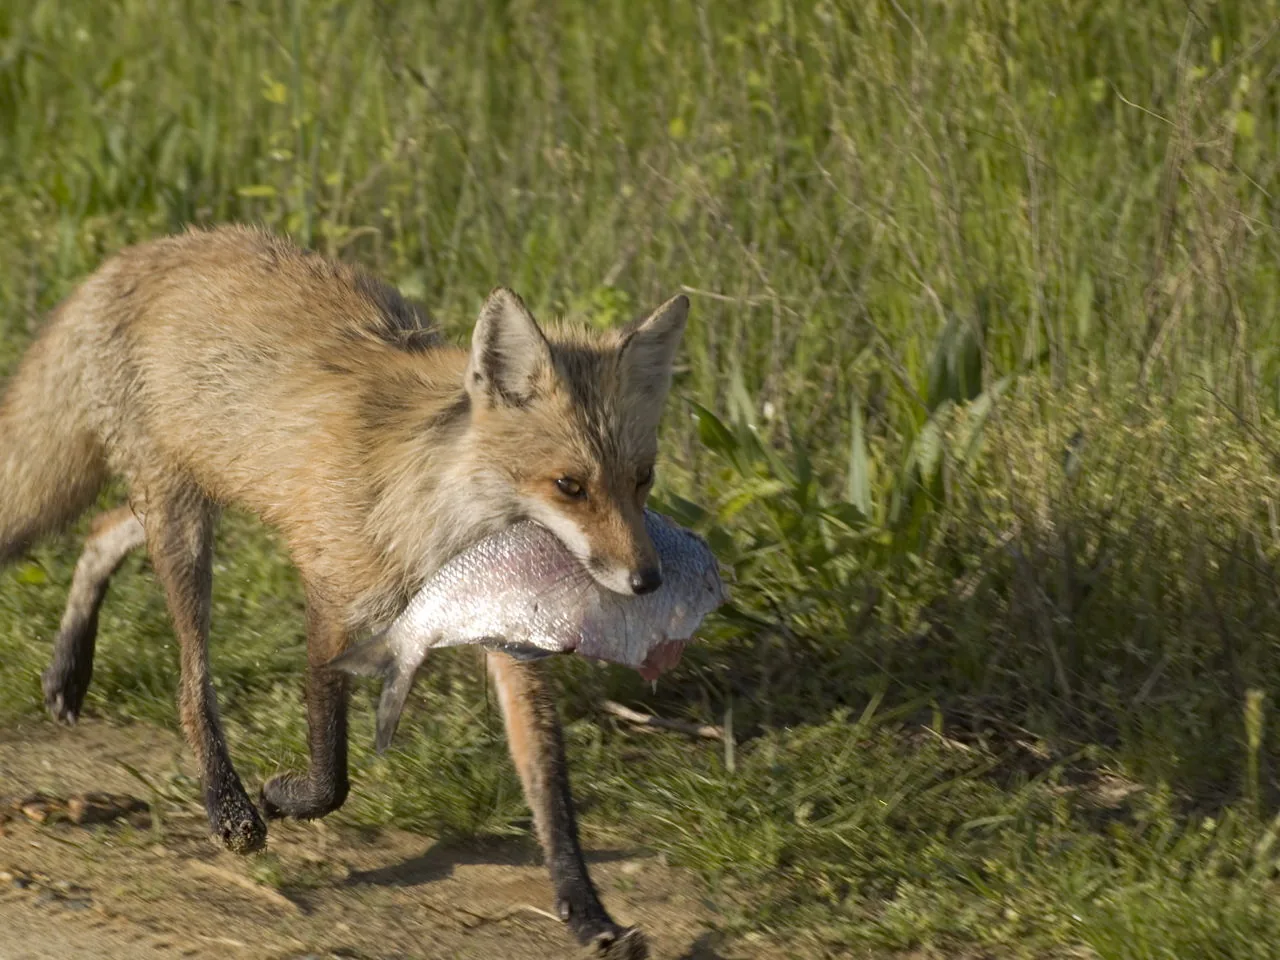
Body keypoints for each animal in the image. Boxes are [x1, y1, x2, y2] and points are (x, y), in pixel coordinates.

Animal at [0, 224, 689, 959]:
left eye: (642, 480)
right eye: (569, 486)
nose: (648, 580)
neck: (435, 520)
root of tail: (146, 250)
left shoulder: (507, 635)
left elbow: (551, 788)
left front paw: (586, 910)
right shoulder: (330, 590)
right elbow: (331, 760)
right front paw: (283, 798)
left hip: (190, 498)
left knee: (99, 532)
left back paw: (68, 669)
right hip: (184, 530)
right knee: (191, 684)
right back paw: (228, 803)